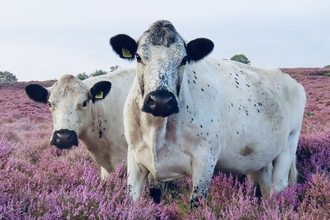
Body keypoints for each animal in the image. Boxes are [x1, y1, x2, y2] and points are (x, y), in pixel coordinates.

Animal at [109, 19, 306, 205]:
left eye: (184, 59)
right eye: (138, 57)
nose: (161, 101)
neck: (157, 129)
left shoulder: (204, 161)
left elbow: (196, 202)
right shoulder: (135, 160)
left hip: (288, 147)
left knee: (279, 187)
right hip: (261, 159)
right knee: (265, 188)